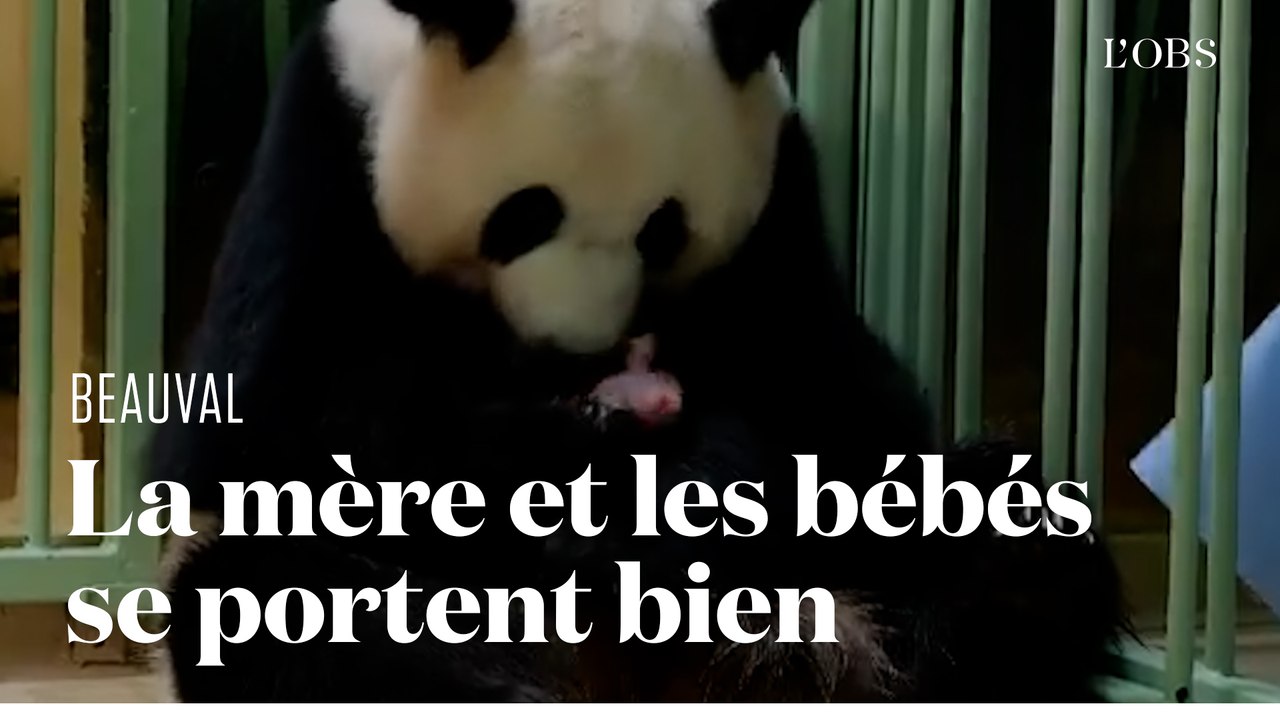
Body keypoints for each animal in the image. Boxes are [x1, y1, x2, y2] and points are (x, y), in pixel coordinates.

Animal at [152, 0, 1131, 703]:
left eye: (663, 229)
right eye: (523, 214)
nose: (574, 348)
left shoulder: (779, 202)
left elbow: (847, 407)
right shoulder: (326, 152)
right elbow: (264, 431)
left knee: (1007, 537)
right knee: (279, 605)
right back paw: (494, 686)